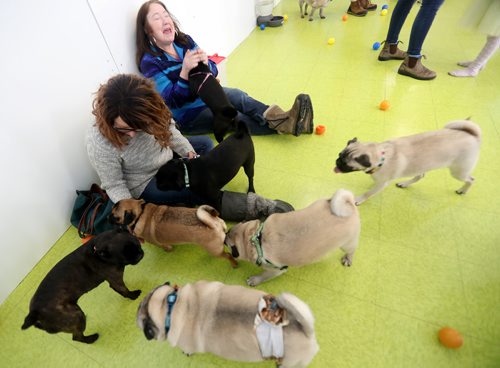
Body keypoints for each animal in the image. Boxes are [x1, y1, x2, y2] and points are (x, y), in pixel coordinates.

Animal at [108, 198, 237, 268]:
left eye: (114, 216)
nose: (107, 217)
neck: (140, 213)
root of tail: (212, 222)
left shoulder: (160, 243)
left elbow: (165, 246)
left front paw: (168, 250)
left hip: (215, 251)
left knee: (228, 255)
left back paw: (234, 264)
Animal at [224, 190, 360, 288]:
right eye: (228, 231)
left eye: (230, 247)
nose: (224, 236)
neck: (256, 239)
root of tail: (350, 205)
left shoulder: (275, 270)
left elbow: (264, 275)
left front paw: (255, 280)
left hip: (346, 244)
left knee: (352, 250)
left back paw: (348, 259)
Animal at [334, 120, 482, 204]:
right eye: (339, 155)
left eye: (346, 164)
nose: (337, 163)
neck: (382, 157)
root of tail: (473, 136)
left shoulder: (382, 183)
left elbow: (369, 193)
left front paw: (358, 200)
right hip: (424, 165)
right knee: (419, 176)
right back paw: (404, 183)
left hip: (458, 172)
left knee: (471, 179)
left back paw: (462, 190)